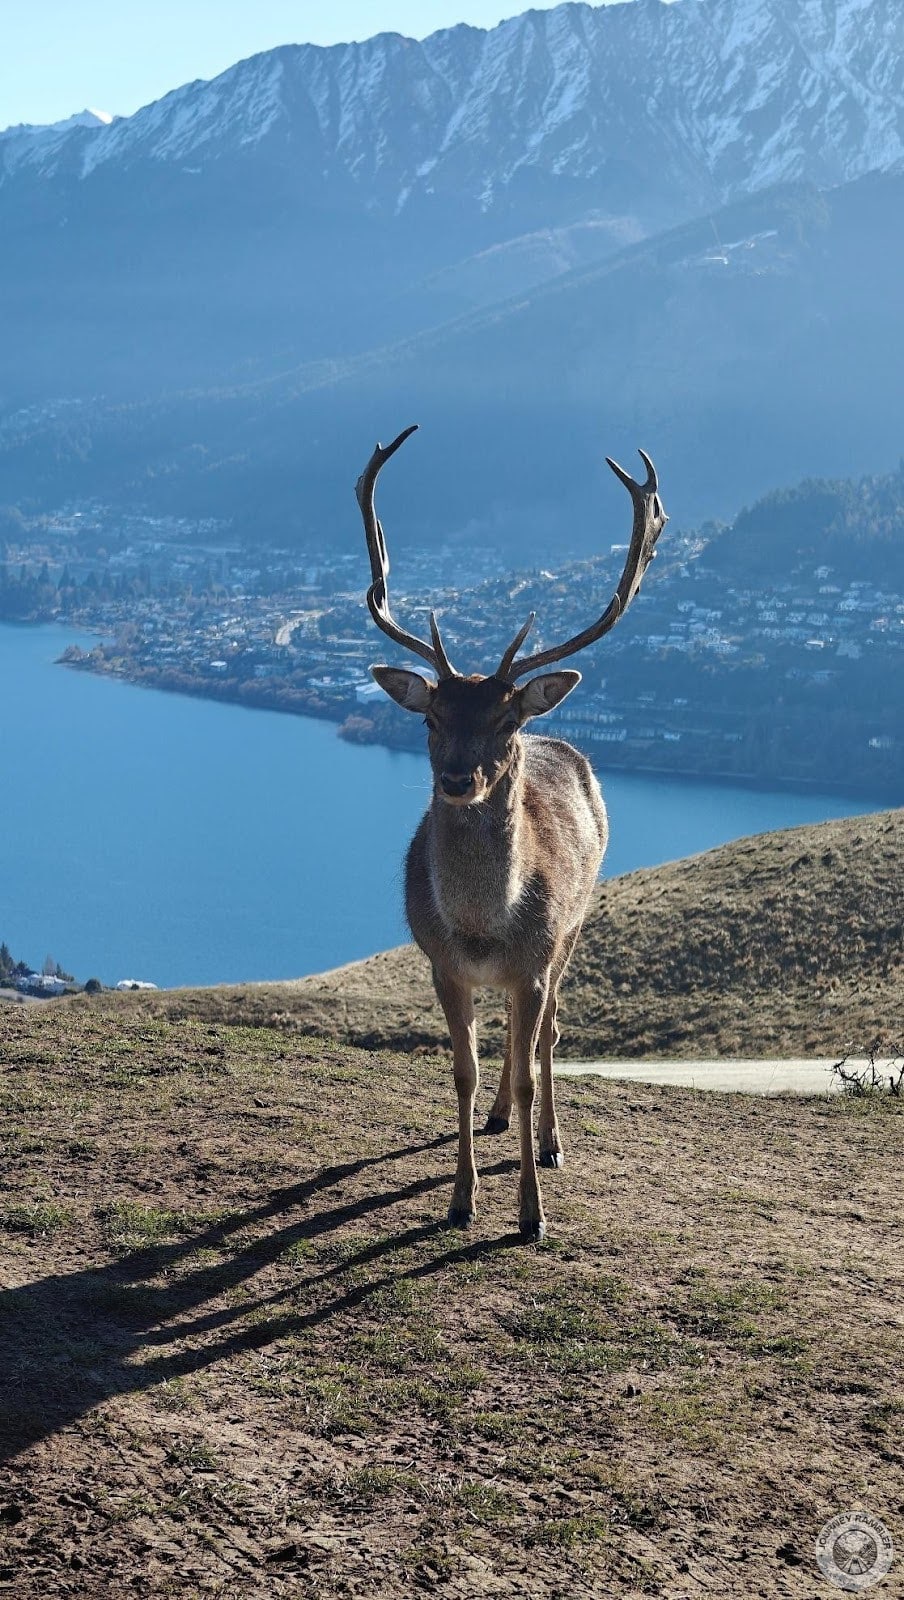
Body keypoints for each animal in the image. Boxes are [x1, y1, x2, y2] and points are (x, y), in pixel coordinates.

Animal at [356, 426, 667, 1241]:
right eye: (430, 718)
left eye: (505, 721)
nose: (457, 778)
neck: (482, 927)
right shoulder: (441, 964)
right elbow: (462, 1071)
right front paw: (461, 1199)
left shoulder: (534, 957)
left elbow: (531, 1069)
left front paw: (531, 1214)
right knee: (511, 1046)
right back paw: (498, 1120)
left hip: (574, 930)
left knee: (549, 1034)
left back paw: (551, 1141)